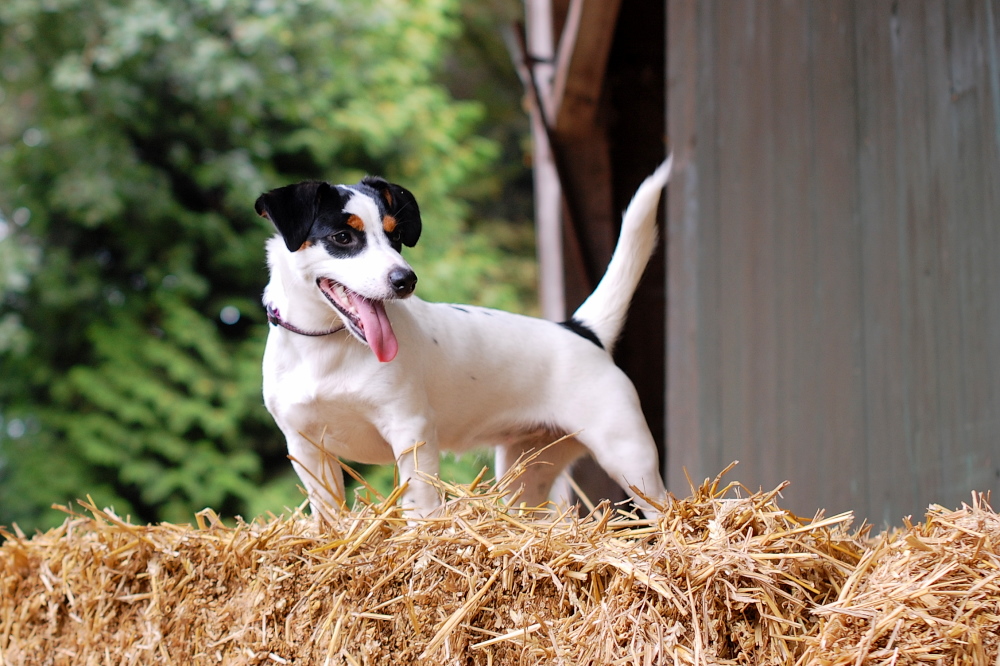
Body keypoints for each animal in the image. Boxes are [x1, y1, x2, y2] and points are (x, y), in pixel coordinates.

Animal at [256, 157, 672, 520]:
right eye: (343, 237)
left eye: (395, 237)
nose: (406, 280)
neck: (325, 347)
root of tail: (581, 329)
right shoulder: (306, 446)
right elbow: (327, 514)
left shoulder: (411, 430)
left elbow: (420, 506)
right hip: (528, 469)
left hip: (629, 457)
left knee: (666, 510)